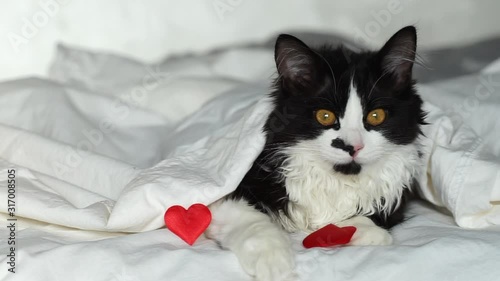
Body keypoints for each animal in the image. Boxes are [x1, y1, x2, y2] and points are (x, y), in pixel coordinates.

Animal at [207, 26, 426, 280]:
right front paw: (275, 263)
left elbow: (370, 217)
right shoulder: (225, 194)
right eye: (325, 116)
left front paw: (362, 231)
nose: (352, 146)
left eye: (376, 116)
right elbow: (254, 222)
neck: (334, 182)